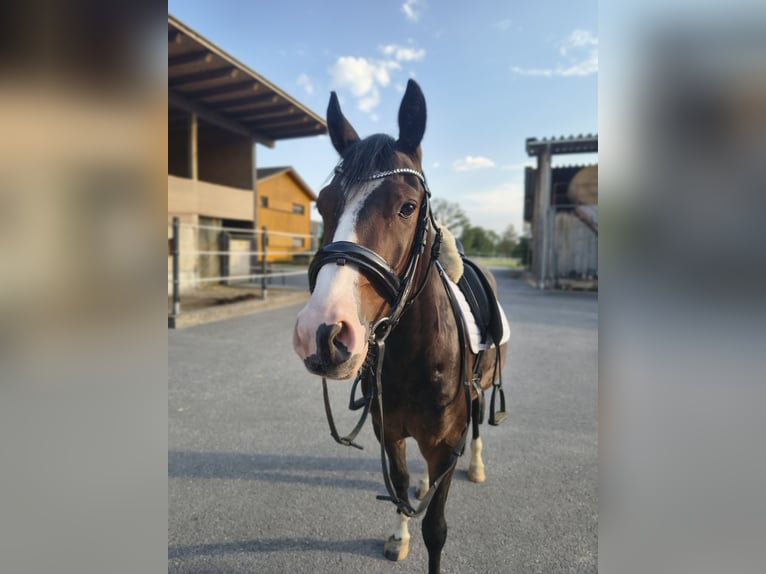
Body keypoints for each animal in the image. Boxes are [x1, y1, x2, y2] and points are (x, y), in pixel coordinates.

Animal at [293, 79, 509, 574]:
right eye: (323, 204)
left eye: (408, 206)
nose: (323, 333)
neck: (414, 357)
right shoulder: (388, 432)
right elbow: (402, 482)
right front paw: (398, 534)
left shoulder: (447, 443)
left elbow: (436, 529)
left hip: (484, 388)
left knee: (479, 427)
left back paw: (478, 466)